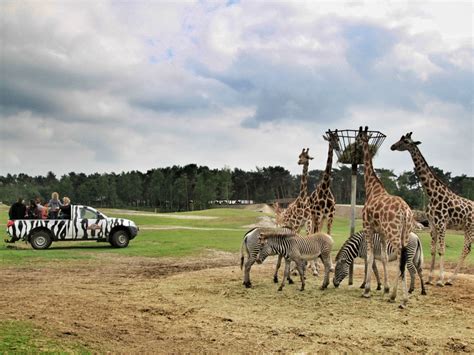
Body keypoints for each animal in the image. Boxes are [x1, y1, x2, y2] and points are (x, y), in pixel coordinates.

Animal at [356, 126, 414, 308]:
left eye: (359, 138)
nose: (355, 147)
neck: (371, 189)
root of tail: (405, 211)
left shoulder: (367, 227)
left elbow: (370, 257)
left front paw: (367, 290)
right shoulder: (381, 232)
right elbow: (383, 257)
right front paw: (386, 288)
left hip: (394, 232)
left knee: (401, 256)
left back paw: (401, 298)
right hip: (405, 232)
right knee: (402, 258)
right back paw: (397, 296)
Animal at [390, 132, 472, 286]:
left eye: (405, 141)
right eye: (400, 138)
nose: (392, 146)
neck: (432, 193)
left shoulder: (442, 224)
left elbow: (441, 250)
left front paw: (440, 280)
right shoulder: (433, 224)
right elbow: (433, 250)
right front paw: (429, 279)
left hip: (469, 228)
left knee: (465, 249)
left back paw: (450, 280)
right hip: (467, 228)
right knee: (467, 249)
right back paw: (451, 279)